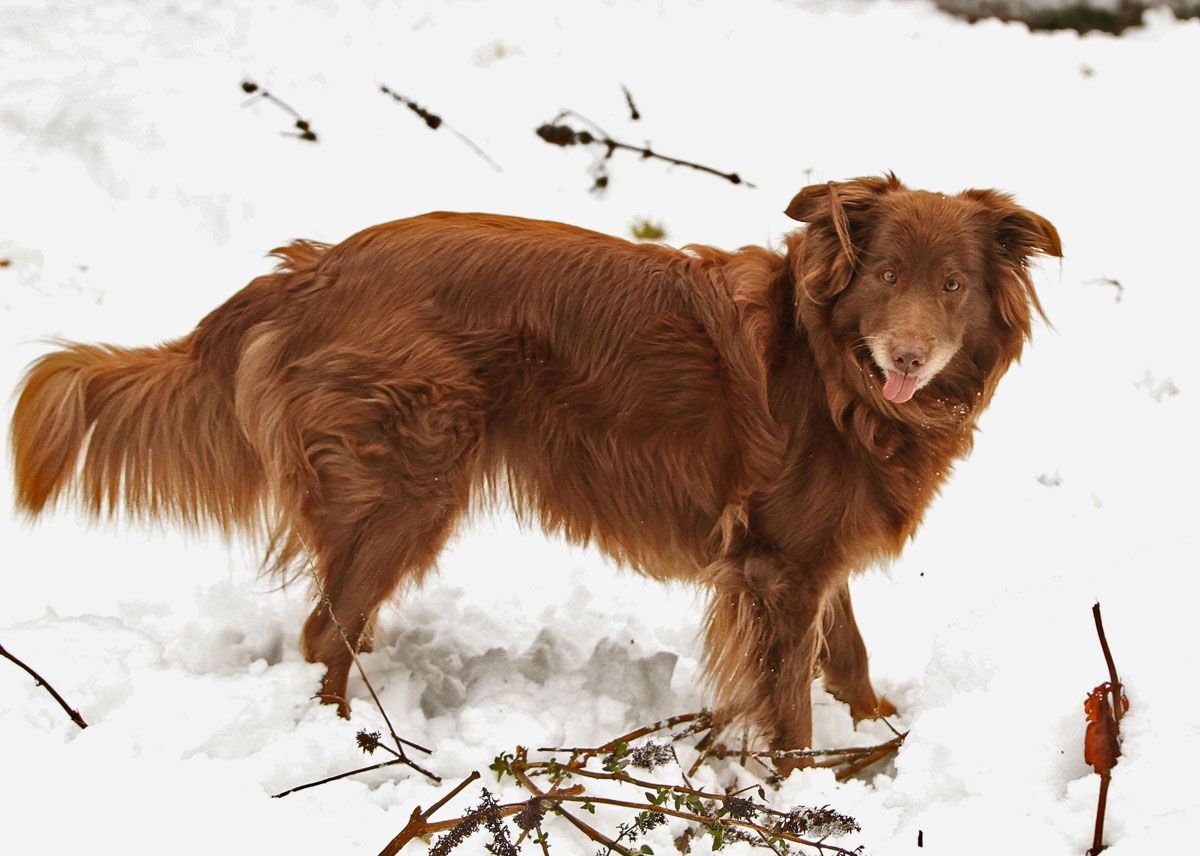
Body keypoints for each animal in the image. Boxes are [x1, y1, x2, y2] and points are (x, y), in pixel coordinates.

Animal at [9, 174, 1060, 753]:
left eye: (952, 284)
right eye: (884, 276)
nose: (909, 360)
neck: (834, 369)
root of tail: (311, 270)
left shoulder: (808, 553)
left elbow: (846, 655)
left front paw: (877, 734)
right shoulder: (779, 566)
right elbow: (792, 697)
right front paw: (802, 783)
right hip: (409, 485)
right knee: (321, 634)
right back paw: (345, 740)